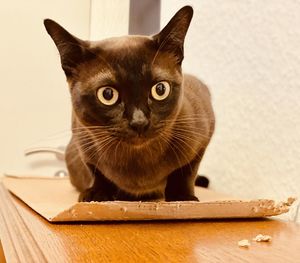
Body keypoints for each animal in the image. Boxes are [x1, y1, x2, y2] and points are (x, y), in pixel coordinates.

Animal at [43, 5, 214, 202]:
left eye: (160, 89)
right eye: (107, 94)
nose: (139, 122)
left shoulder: (204, 133)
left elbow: (185, 172)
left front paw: (182, 197)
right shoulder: (82, 143)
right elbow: (97, 172)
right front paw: (98, 194)